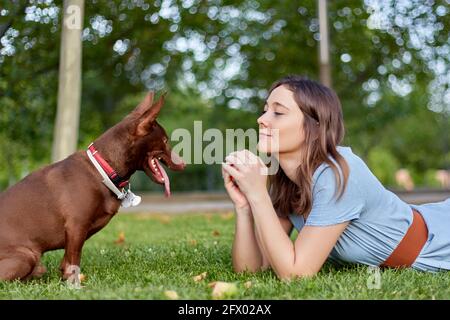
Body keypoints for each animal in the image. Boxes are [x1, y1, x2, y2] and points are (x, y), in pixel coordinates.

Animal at [0, 91, 185, 284]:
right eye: (165, 140)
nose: (184, 164)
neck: (103, 169)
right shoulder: (76, 226)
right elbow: (73, 261)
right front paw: (74, 284)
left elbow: (66, 263)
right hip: (27, 256)